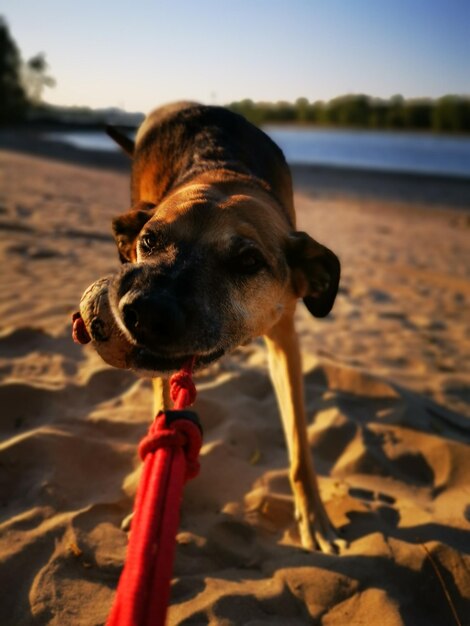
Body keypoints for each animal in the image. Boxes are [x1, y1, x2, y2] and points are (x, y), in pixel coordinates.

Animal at [106, 102, 342, 552]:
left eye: (248, 261)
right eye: (149, 240)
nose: (143, 312)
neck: (223, 174)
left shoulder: (285, 339)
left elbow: (300, 443)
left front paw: (314, 515)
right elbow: (165, 410)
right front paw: (155, 507)